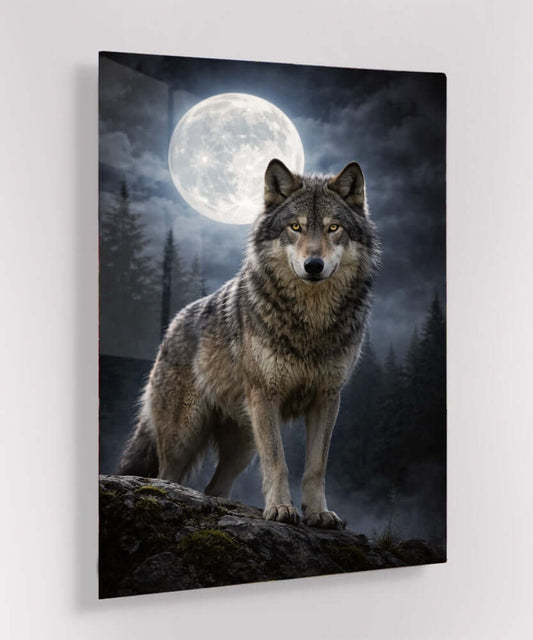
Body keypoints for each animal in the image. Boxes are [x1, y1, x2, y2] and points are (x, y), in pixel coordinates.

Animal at [119, 159, 379, 528]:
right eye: (295, 227)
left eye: (334, 228)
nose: (313, 265)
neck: (311, 323)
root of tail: (171, 326)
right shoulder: (265, 395)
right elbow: (278, 462)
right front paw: (281, 509)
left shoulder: (327, 398)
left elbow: (316, 467)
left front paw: (318, 513)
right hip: (186, 436)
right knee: (166, 477)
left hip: (243, 444)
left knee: (214, 488)